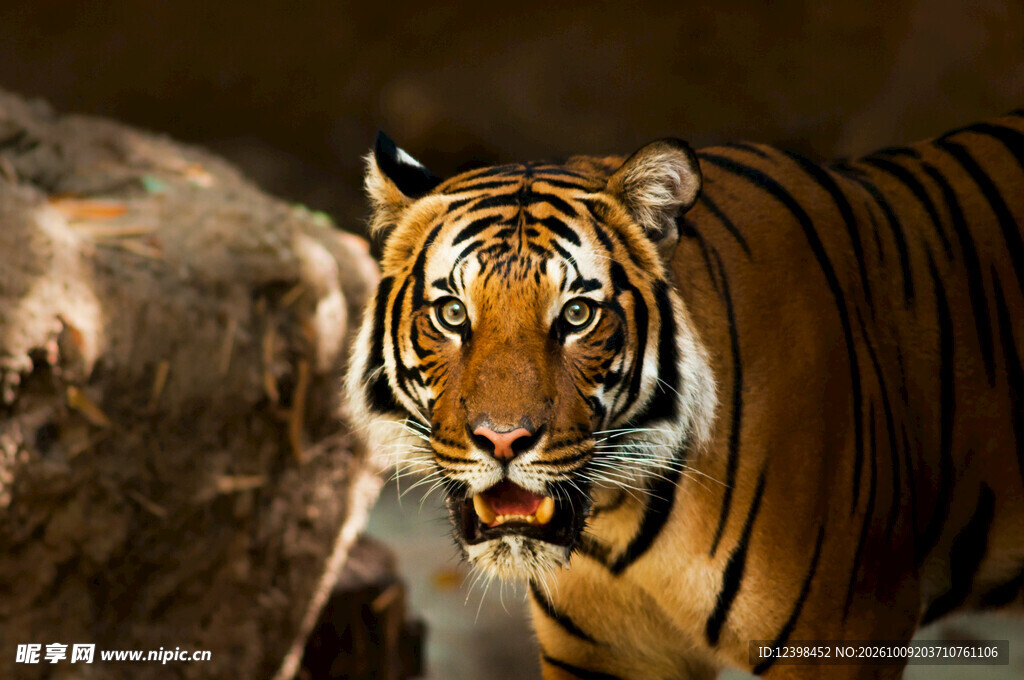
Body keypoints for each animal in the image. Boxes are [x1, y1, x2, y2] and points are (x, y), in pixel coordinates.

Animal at [344, 112, 1024, 679]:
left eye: (577, 315)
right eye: (453, 313)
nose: (503, 440)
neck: (620, 520)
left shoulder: (842, 636)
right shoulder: (603, 654)